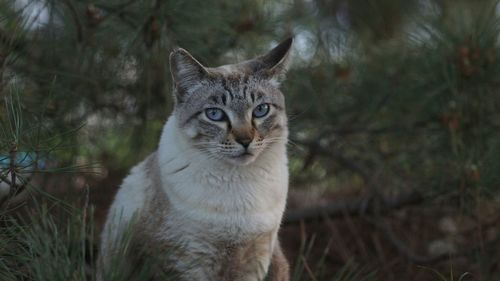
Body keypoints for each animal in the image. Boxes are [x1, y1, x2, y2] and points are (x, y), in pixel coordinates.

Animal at [98, 37, 292, 280]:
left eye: (261, 110)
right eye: (215, 114)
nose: (245, 141)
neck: (239, 182)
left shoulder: (255, 258)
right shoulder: (186, 260)